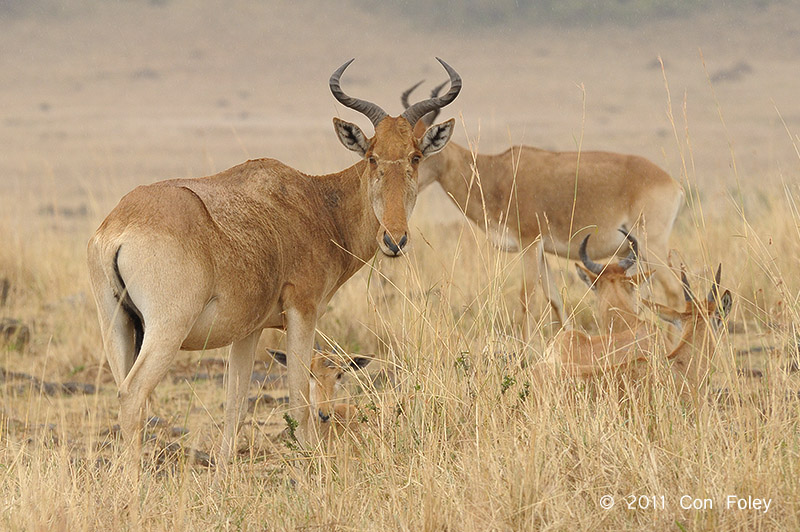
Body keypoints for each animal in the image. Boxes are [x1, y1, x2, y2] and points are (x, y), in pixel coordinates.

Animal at [86, 57, 460, 458]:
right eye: (372, 157)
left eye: (415, 156)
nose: (394, 239)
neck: (314, 200)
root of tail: (120, 226)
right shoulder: (301, 313)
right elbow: (299, 402)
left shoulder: (248, 331)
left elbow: (235, 408)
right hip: (167, 327)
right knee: (133, 393)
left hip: (116, 325)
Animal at [404, 83, 684, 338]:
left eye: (420, 152)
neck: (496, 172)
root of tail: (672, 182)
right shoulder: (540, 249)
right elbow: (553, 298)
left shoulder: (529, 243)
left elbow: (526, 296)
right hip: (634, 252)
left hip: (651, 244)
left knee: (673, 290)